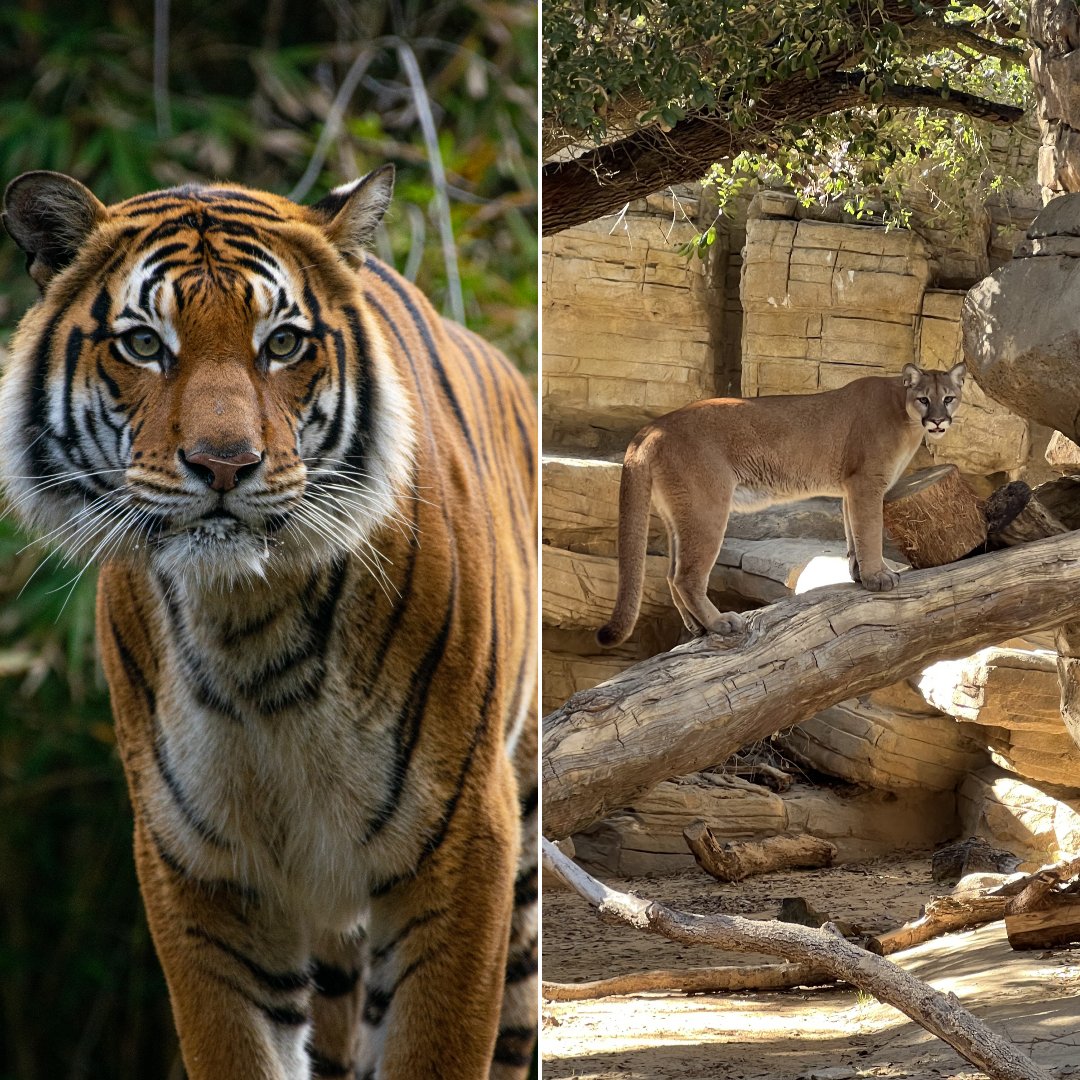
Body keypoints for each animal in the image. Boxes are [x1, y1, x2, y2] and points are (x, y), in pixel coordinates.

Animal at [0, 168, 538, 1080]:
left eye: (282, 344)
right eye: (144, 345)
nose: (225, 464)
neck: (248, 625)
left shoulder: (466, 837)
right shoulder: (199, 868)